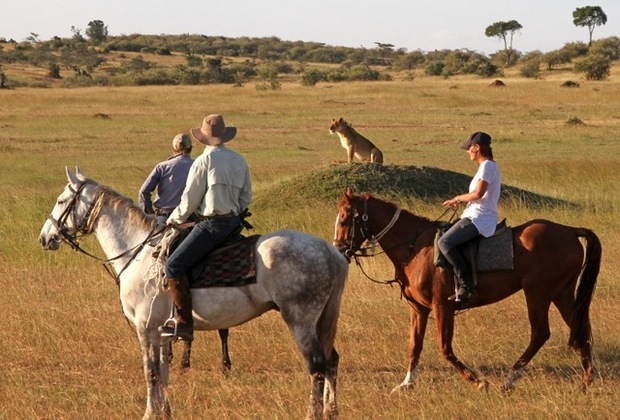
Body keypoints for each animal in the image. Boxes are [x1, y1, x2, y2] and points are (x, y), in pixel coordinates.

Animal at [334, 189, 600, 392]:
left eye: (345, 219)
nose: (339, 250)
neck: (415, 247)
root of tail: (568, 230)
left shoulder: (443, 307)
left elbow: (445, 349)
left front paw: (478, 381)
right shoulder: (418, 308)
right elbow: (414, 346)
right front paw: (407, 384)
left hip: (538, 294)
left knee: (541, 333)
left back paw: (511, 378)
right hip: (562, 293)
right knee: (581, 328)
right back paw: (586, 381)